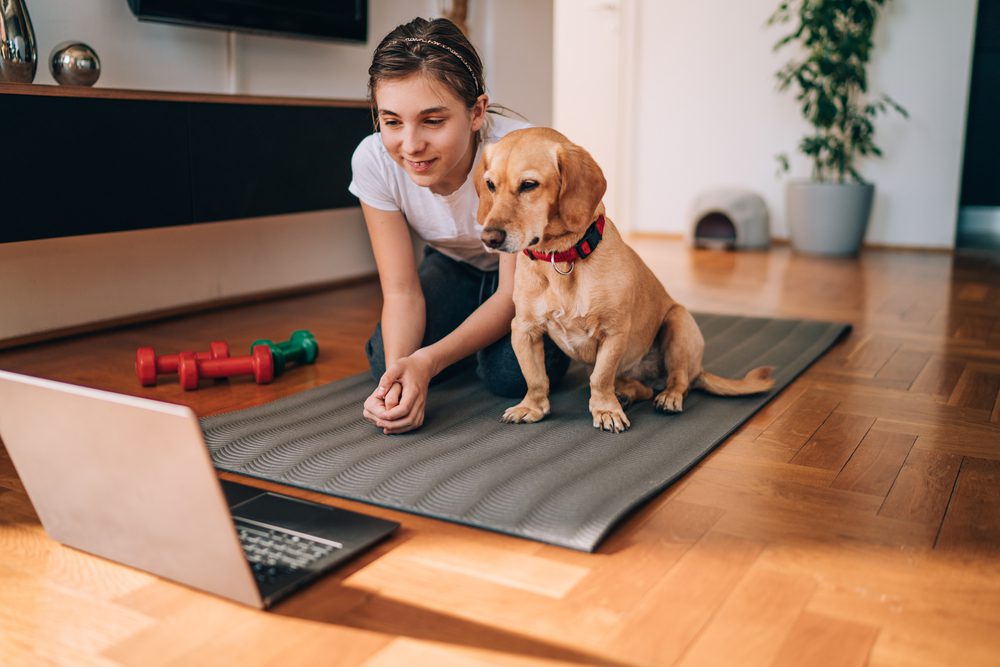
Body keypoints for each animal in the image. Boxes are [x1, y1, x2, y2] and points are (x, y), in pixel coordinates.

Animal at [474, 128, 772, 436]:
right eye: (490, 185)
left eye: (529, 185)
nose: (489, 238)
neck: (562, 258)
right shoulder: (524, 329)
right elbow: (535, 378)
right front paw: (531, 407)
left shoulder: (613, 332)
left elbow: (600, 379)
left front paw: (606, 410)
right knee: (642, 388)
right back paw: (627, 394)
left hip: (678, 322)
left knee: (679, 380)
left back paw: (668, 397)